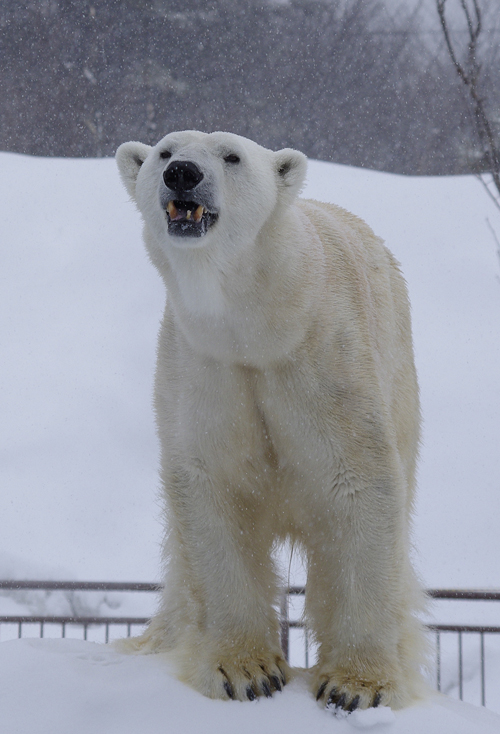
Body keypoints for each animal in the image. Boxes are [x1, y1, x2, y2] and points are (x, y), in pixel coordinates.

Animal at [116, 131, 426, 712]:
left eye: (231, 155)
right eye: (166, 151)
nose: (183, 174)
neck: (260, 323)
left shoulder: (327, 360)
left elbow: (359, 488)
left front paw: (358, 685)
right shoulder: (204, 369)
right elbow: (212, 494)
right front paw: (245, 672)